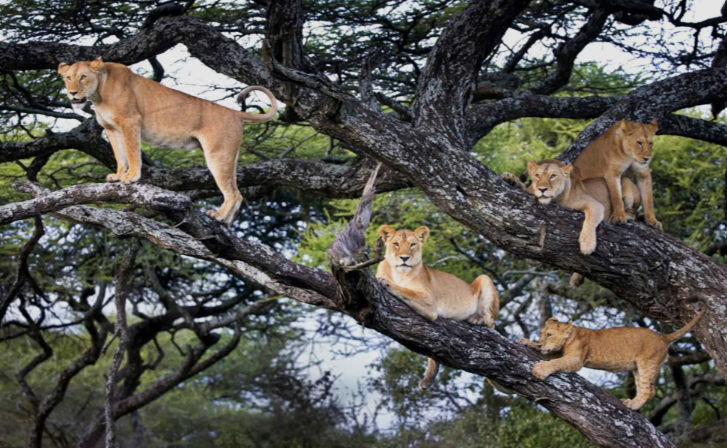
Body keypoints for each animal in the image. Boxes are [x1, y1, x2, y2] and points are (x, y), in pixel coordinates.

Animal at [57, 57, 277, 226]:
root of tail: (234, 113)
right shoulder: (112, 129)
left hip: (218, 154)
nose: (72, 93)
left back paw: (219, 217)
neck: (99, 94)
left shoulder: (131, 121)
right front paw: (118, 175)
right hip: (228, 155)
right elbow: (120, 155)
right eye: (68, 78)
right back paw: (226, 222)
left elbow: (132, 152)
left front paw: (131, 177)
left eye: (83, 77)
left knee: (233, 193)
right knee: (237, 191)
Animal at [376, 225, 499, 390]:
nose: (404, 258)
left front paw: (386, 282)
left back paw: (476, 318)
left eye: (412, 245)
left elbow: (406, 290)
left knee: (491, 324)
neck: (399, 274)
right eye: (396, 244)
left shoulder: (429, 302)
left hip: (484, 278)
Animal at [502, 159, 641, 286]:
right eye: (537, 175)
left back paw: (622, 217)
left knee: (632, 212)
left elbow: (590, 221)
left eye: (553, 176)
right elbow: (523, 188)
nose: (542, 189)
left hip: (627, 186)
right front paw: (511, 179)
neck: (556, 200)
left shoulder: (595, 205)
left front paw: (587, 244)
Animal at [520, 297, 707, 410]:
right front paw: (528, 343)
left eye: (549, 335)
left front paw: (540, 369)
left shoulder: (576, 359)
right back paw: (631, 402)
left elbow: (555, 362)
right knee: (646, 389)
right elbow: (550, 356)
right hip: (637, 368)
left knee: (649, 391)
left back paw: (632, 405)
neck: (571, 335)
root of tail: (662, 336)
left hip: (648, 362)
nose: (540, 343)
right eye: (542, 333)